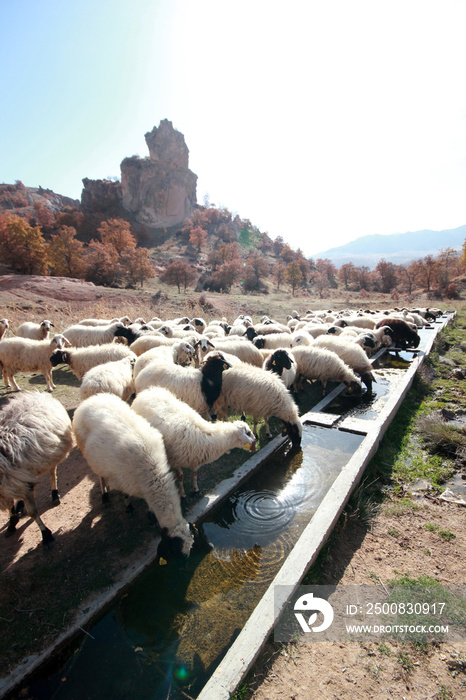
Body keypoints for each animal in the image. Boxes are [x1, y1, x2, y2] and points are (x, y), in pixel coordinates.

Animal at [0, 392, 73, 544]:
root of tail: (38, 394)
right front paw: (12, 522)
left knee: (52, 472)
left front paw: (46, 534)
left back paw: (54, 494)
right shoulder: (10, 485)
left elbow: (33, 512)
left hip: (50, 456)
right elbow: (10, 505)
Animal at [72, 394, 195, 564]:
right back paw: (105, 496)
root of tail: (91, 399)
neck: (153, 473)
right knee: (100, 476)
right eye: (175, 553)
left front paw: (151, 515)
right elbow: (125, 495)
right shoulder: (123, 480)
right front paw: (129, 507)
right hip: (88, 455)